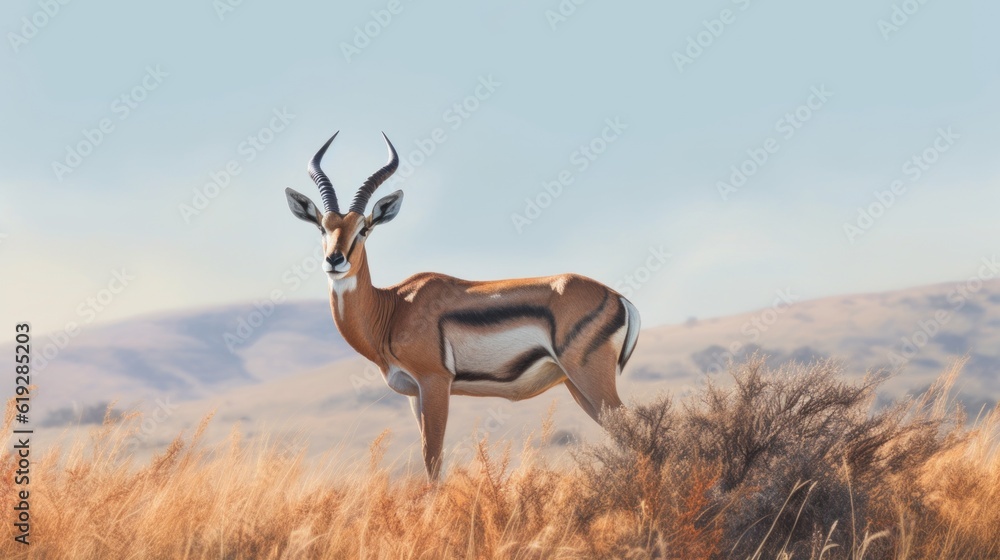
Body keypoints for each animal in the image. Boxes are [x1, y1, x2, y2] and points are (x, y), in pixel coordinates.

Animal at [284, 132, 640, 479]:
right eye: (322, 227)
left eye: (364, 229)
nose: (335, 260)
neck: (394, 308)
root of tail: (620, 299)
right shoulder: (414, 394)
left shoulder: (435, 383)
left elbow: (433, 460)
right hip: (575, 385)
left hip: (590, 379)